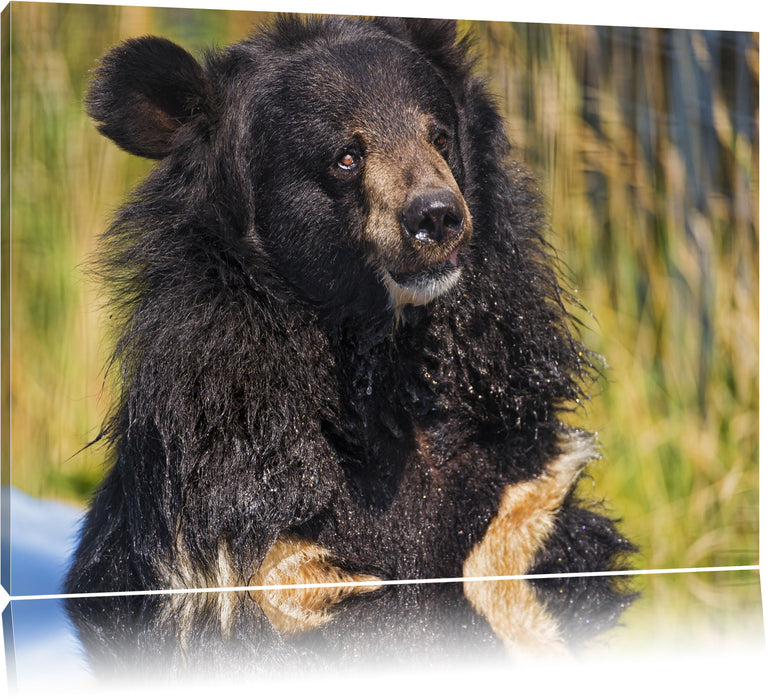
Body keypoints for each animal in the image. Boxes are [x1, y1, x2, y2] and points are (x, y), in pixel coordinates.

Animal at [65, 13, 636, 676]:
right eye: (345, 157)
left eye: (440, 138)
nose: (437, 217)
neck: (380, 361)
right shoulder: (245, 528)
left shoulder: (523, 499)